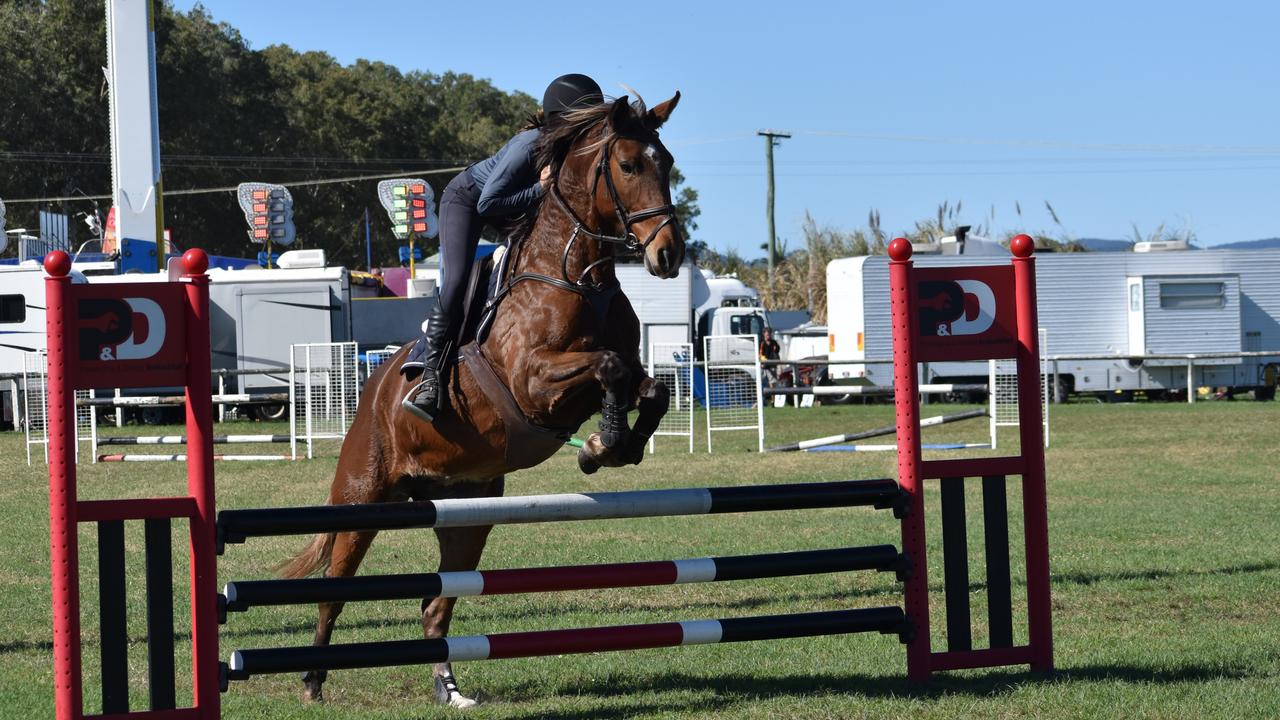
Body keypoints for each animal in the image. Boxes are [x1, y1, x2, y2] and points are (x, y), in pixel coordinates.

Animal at [276, 92, 686, 702]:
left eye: (669, 164)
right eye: (629, 166)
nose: (668, 255)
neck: (576, 274)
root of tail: (371, 394)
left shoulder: (608, 377)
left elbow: (651, 387)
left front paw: (612, 446)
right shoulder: (533, 382)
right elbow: (608, 367)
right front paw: (603, 443)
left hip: (468, 512)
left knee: (436, 603)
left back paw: (449, 689)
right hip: (362, 498)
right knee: (334, 590)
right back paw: (312, 682)